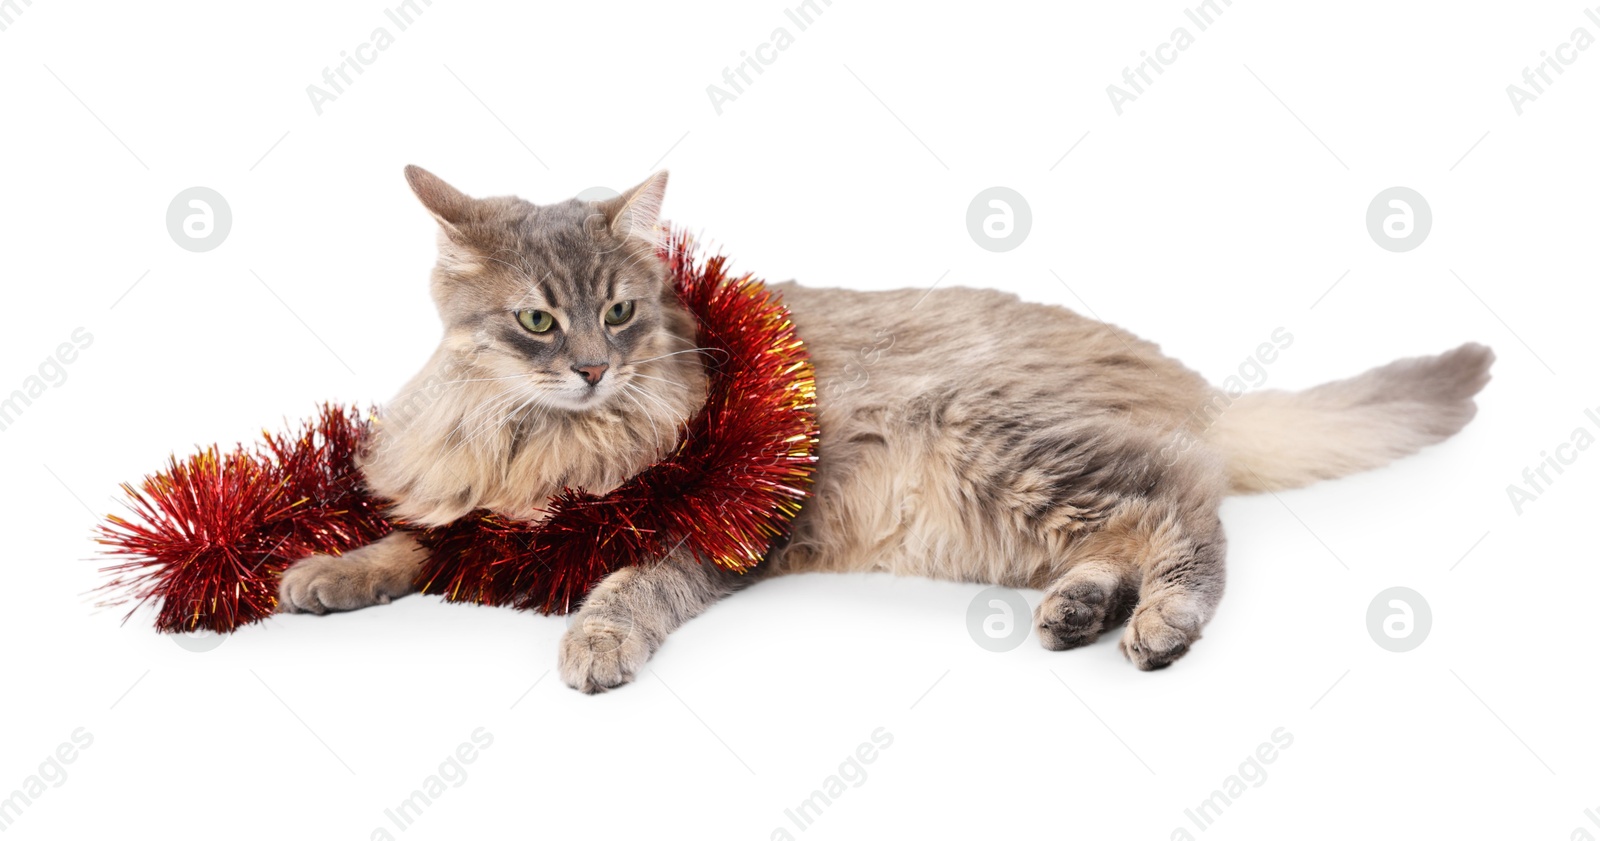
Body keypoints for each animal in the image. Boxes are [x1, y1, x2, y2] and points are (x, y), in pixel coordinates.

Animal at [275, 167, 1484, 697]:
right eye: (537, 320)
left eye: (617, 312)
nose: (592, 367)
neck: (542, 438)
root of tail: (1190, 386)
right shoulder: (474, 507)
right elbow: (411, 539)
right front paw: (327, 570)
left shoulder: (707, 534)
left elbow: (626, 584)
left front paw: (595, 641)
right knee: (1132, 528)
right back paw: (1081, 609)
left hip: (999, 445)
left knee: (1186, 509)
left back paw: (1157, 626)